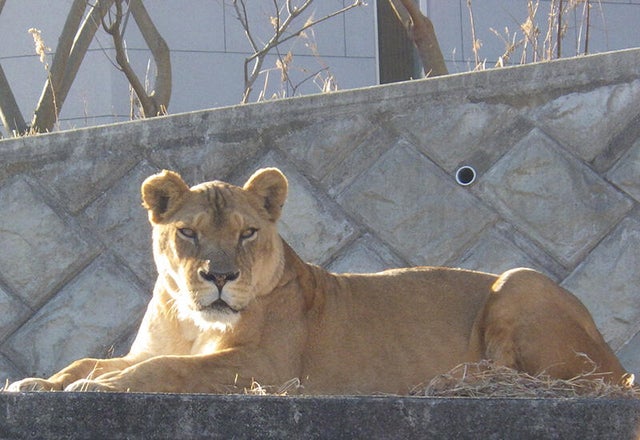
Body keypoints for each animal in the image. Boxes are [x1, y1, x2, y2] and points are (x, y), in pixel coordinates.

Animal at [7, 168, 631, 394]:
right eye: (187, 233)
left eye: (247, 233)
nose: (219, 277)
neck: (191, 320)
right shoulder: (159, 346)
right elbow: (92, 360)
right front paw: (39, 383)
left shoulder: (267, 368)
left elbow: (167, 370)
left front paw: (96, 389)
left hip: (521, 281)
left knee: (562, 380)